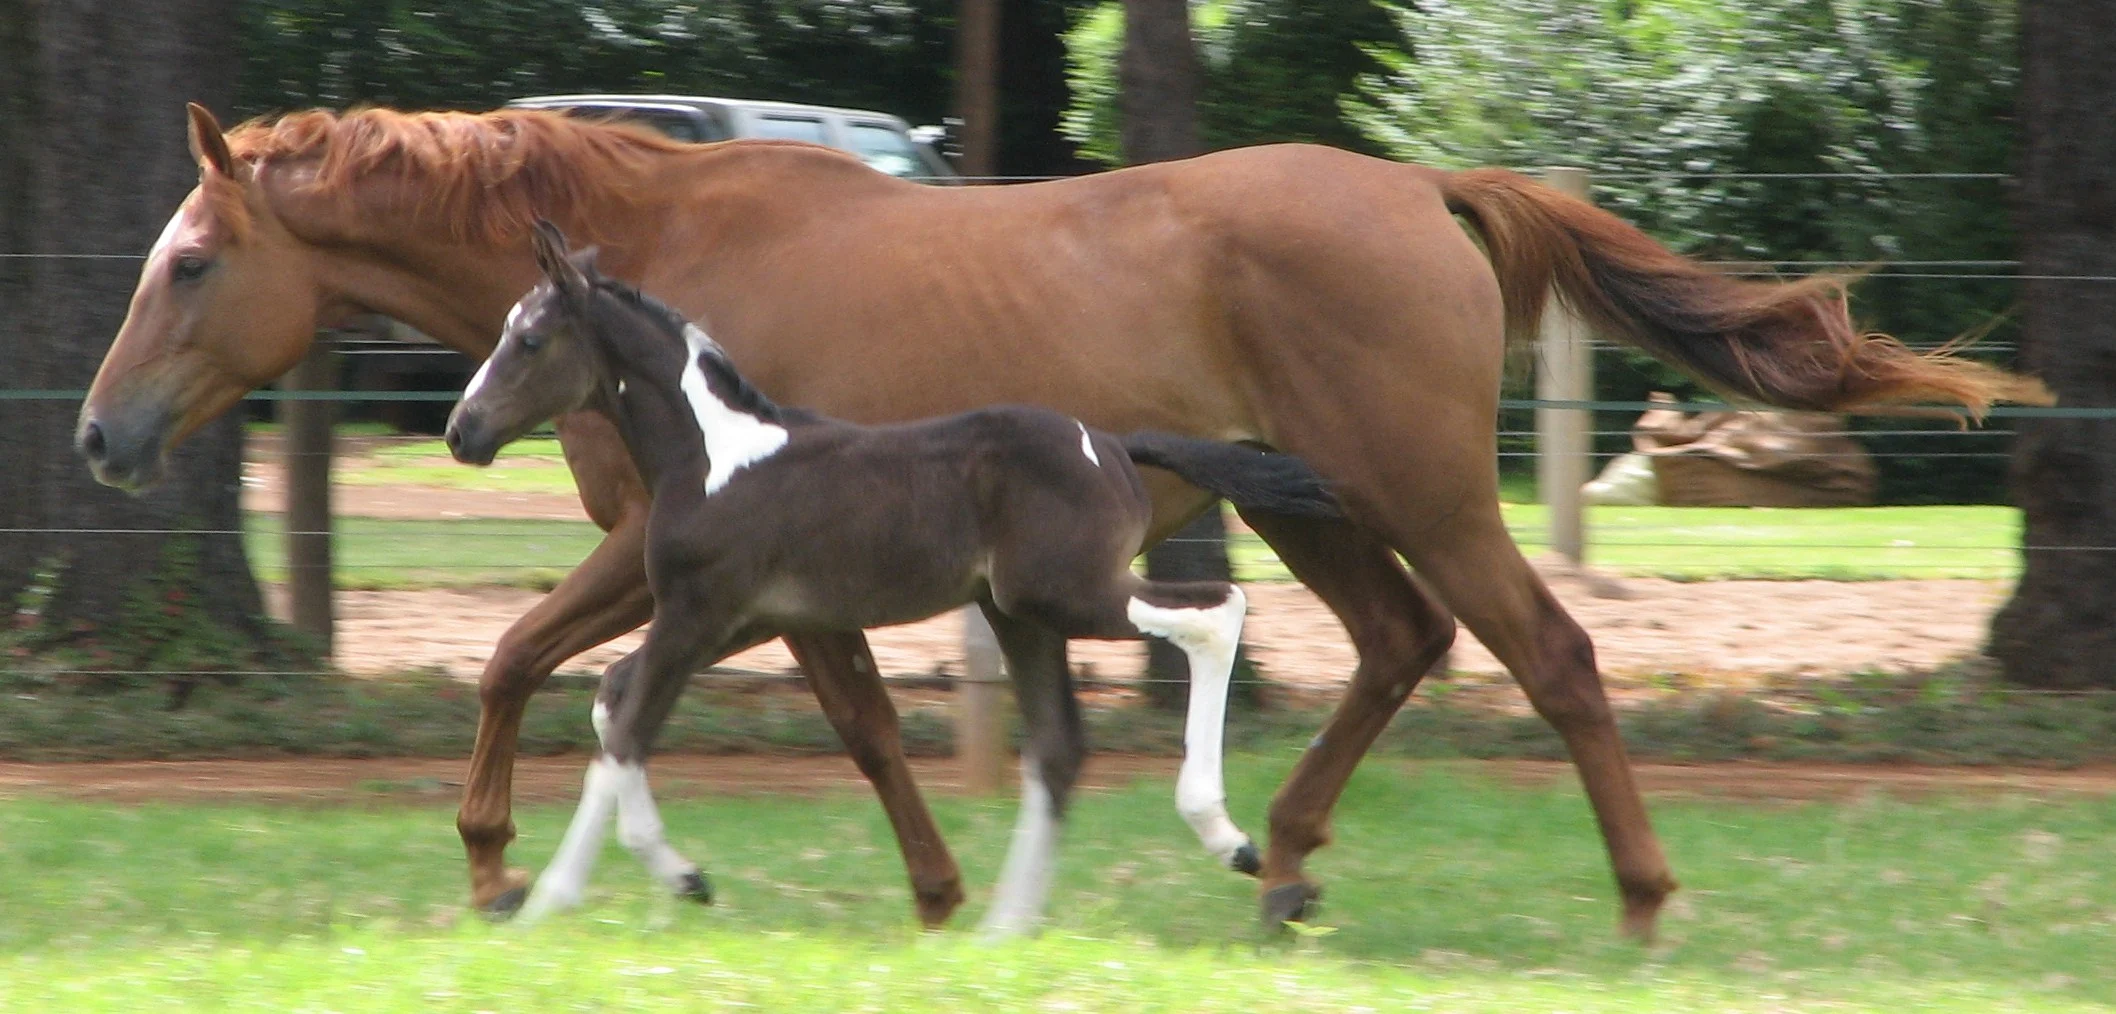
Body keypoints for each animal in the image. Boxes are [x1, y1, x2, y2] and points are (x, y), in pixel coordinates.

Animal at [445, 219, 1343, 930]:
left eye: (529, 340)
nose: (462, 431)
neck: (712, 454)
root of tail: (1114, 444)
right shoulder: (742, 620)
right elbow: (614, 705)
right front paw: (658, 881)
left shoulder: (697, 613)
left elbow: (628, 729)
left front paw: (576, 894)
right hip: (1020, 613)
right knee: (1058, 746)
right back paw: (1006, 932)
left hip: (1064, 592)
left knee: (1215, 610)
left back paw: (1227, 837)